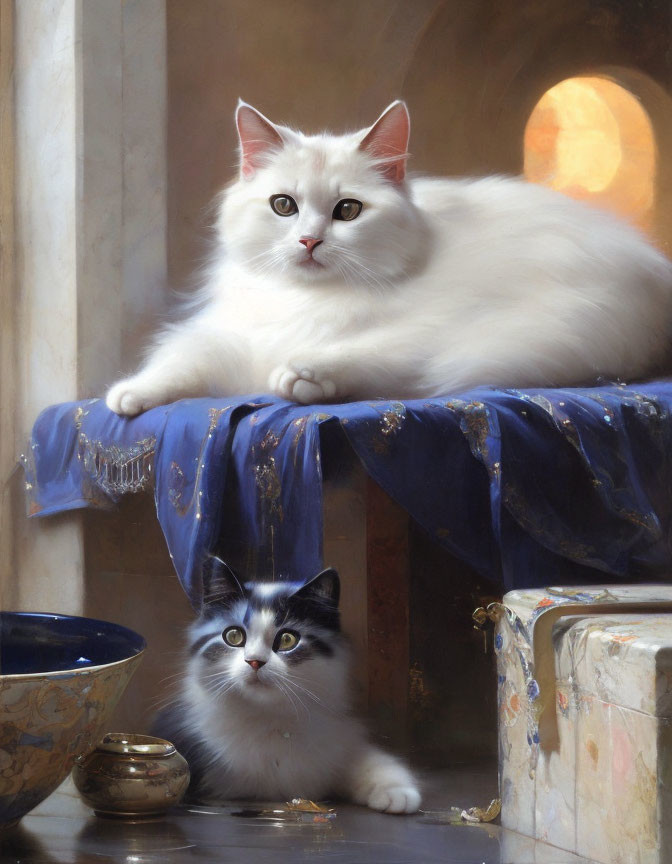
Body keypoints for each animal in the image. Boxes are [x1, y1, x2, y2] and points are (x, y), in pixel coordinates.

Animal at [107, 98, 672, 416]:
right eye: (283, 206)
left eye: (348, 211)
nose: (309, 242)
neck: (310, 303)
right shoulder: (235, 334)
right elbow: (180, 358)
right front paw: (129, 395)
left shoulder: (430, 329)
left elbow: (367, 351)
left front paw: (305, 375)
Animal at [155, 556, 422, 812]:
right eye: (233, 636)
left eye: (287, 640)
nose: (255, 661)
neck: (268, 716)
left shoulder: (340, 744)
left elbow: (371, 761)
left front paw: (398, 793)